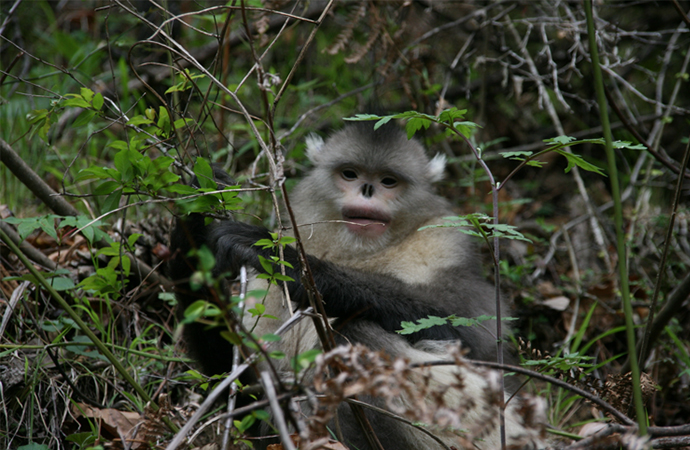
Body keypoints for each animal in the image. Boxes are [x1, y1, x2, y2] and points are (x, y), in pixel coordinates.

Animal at [169, 121, 544, 448]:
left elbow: (474, 336)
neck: (361, 253)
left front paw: (299, 267)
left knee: (354, 333)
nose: (367, 190)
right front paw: (193, 225)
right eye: (349, 174)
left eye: (388, 181)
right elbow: (246, 389)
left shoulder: (449, 242)